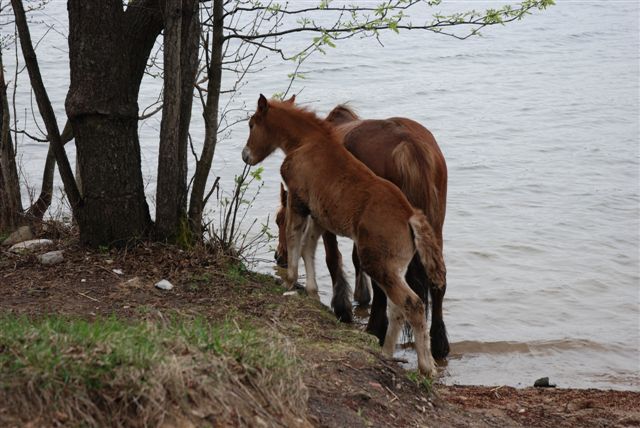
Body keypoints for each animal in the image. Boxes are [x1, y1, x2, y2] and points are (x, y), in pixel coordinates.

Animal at [242, 95, 448, 376]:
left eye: (252, 124)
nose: (245, 155)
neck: (309, 141)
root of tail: (411, 217)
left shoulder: (299, 202)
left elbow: (303, 243)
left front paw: (292, 283)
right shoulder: (319, 215)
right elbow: (310, 248)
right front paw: (313, 292)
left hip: (379, 263)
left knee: (410, 303)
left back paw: (422, 364)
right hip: (412, 250)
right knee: (410, 300)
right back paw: (394, 351)